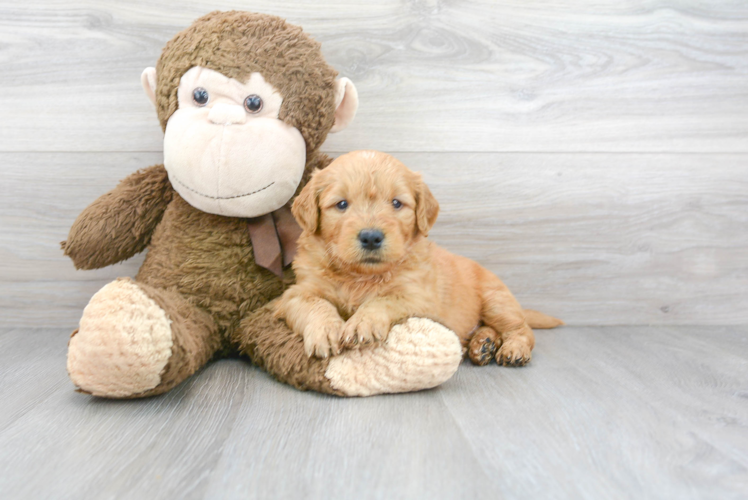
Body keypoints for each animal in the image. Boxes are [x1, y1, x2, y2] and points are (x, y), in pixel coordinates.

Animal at [276, 150, 560, 366]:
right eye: (342, 204)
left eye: (396, 203)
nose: (371, 237)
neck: (360, 276)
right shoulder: (295, 293)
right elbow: (315, 304)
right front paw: (326, 330)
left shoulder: (419, 298)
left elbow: (384, 299)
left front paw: (361, 324)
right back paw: (483, 344)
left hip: (496, 300)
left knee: (522, 329)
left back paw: (512, 349)